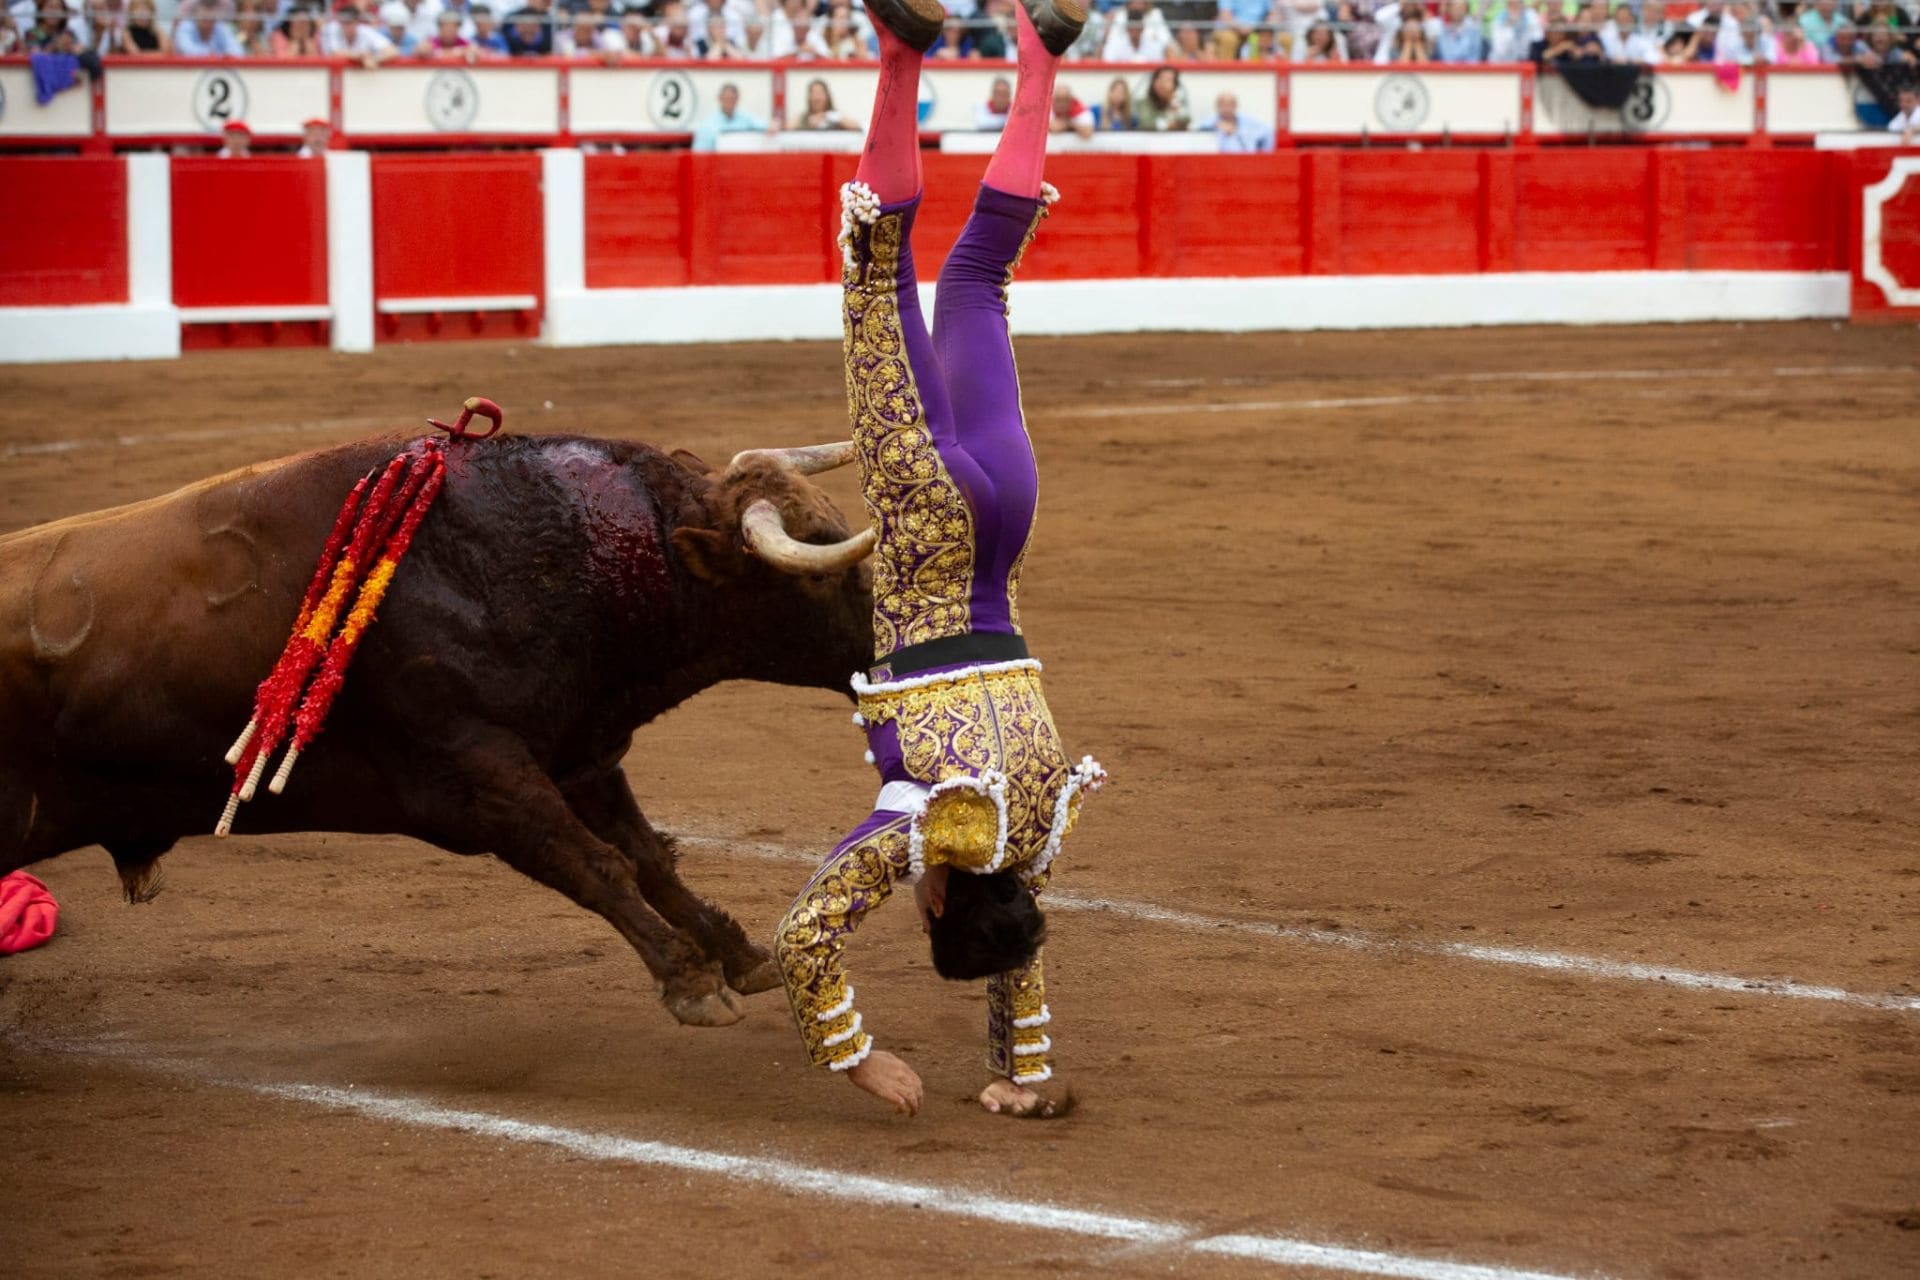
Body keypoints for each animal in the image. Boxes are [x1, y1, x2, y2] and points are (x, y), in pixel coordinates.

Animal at [0, 429, 879, 1028]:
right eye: (820, 570)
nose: (896, 649)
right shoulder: (478, 774)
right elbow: (593, 863)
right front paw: (691, 981)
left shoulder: (580, 755)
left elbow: (648, 858)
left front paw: (740, 957)